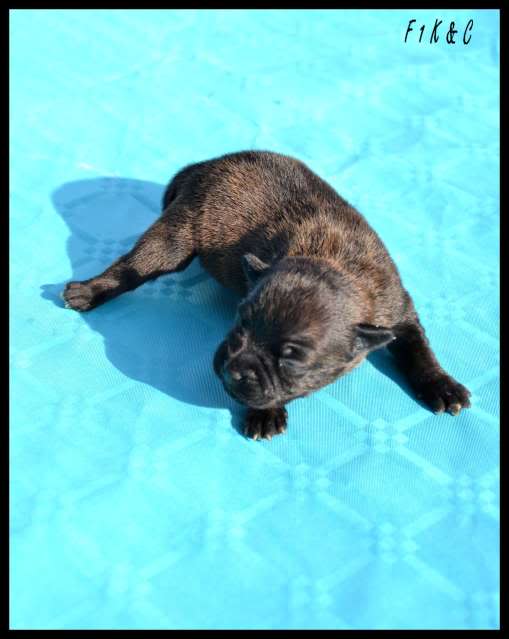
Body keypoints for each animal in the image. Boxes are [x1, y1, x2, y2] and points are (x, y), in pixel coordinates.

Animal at [61, 151, 470, 440]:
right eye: (239, 323)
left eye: (292, 357)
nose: (233, 369)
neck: (334, 261)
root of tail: (206, 164)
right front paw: (264, 414)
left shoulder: (399, 311)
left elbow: (419, 349)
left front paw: (441, 384)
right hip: (175, 235)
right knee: (133, 266)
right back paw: (87, 290)